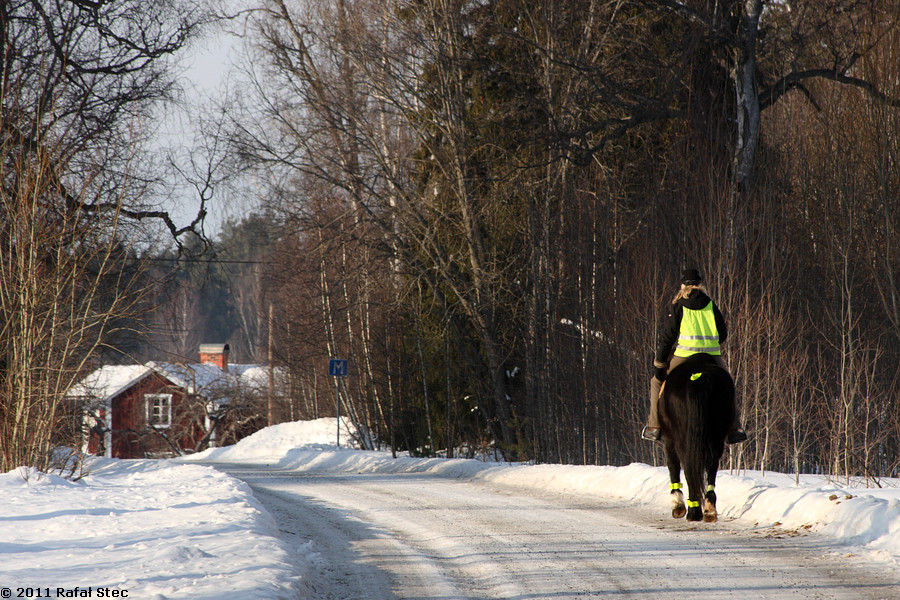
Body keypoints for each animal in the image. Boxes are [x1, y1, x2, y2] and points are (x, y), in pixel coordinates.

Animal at [656, 352, 736, 520]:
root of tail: (700, 376)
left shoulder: (669, 439)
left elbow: (673, 465)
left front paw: (677, 504)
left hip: (681, 437)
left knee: (687, 464)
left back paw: (693, 510)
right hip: (717, 434)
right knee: (711, 464)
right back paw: (709, 509)